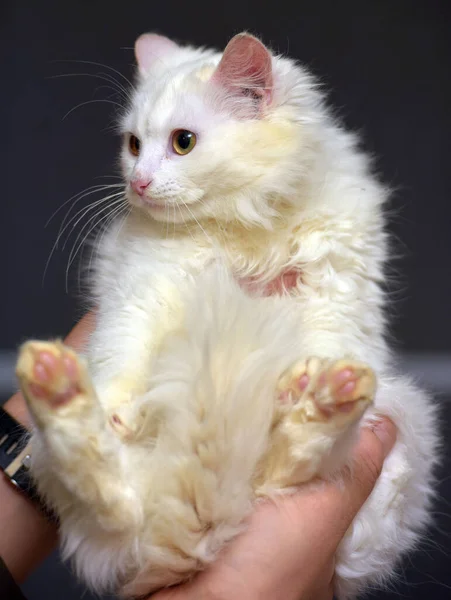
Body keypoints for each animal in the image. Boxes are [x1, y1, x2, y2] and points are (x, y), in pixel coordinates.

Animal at [16, 34, 438, 600]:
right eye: (133, 145)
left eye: (183, 143)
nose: (138, 183)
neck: (241, 226)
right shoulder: (140, 288)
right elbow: (122, 350)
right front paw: (116, 407)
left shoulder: (335, 291)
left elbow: (326, 339)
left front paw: (305, 379)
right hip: (68, 473)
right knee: (113, 496)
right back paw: (59, 385)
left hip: (395, 429)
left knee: (285, 470)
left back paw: (323, 395)